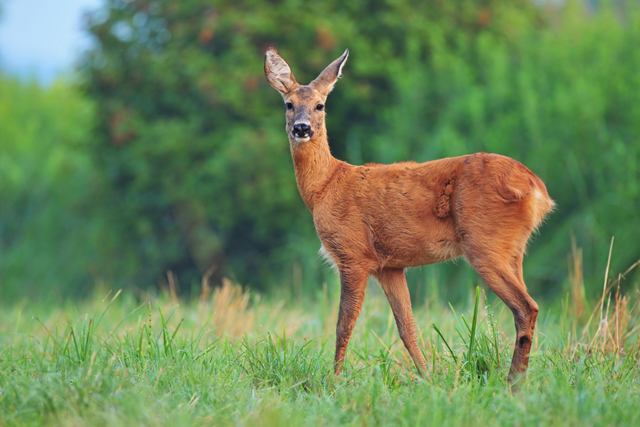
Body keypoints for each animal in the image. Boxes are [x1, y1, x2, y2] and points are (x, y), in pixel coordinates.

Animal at [264, 46, 556, 384]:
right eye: (289, 104)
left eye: (320, 105)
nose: (302, 128)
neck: (325, 186)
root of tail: (537, 189)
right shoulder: (390, 265)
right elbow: (408, 328)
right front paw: (429, 380)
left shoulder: (353, 253)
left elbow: (343, 326)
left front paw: (334, 381)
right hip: (514, 249)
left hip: (484, 242)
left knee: (526, 307)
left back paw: (513, 383)